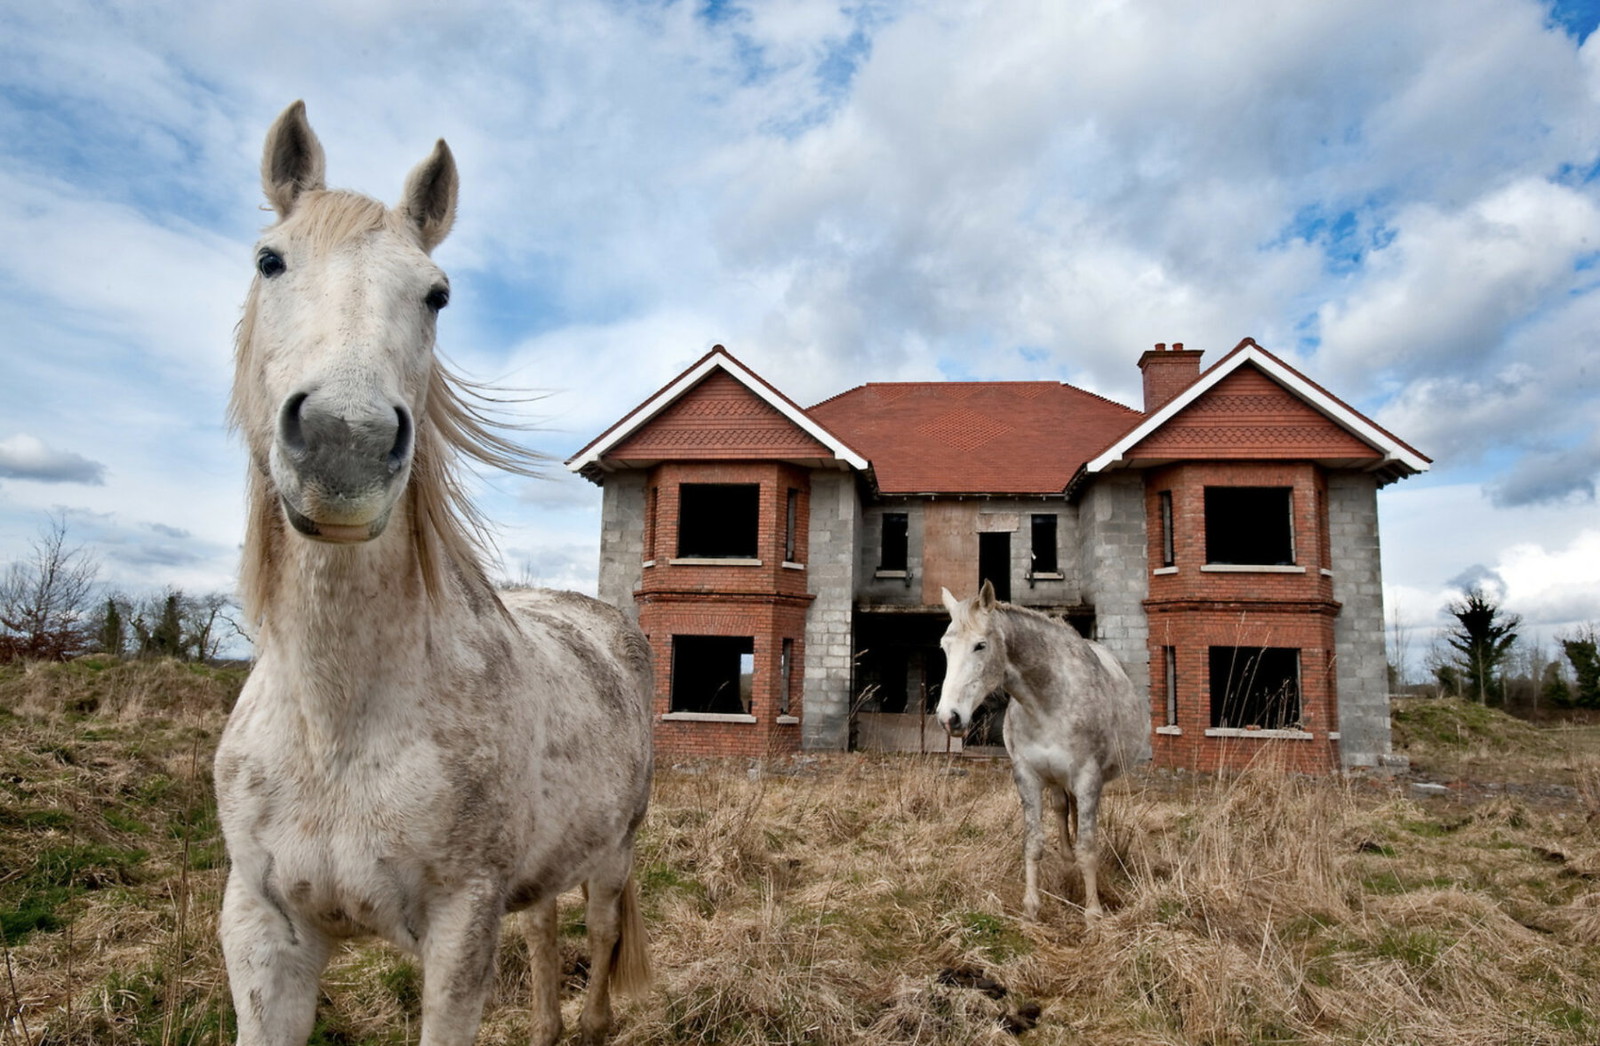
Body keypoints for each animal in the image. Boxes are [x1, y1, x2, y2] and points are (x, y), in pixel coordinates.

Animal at [214, 101, 654, 1046]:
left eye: (437, 294)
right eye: (270, 261)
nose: (345, 441)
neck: (339, 721)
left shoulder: (458, 931)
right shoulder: (263, 934)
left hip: (612, 856)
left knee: (598, 940)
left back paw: (589, 1021)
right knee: (544, 929)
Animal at [935, 581, 1150, 922]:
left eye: (980, 645)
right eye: (945, 647)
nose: (949, 717)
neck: (1048, 702)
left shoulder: (1088, 779)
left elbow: (1088, 846)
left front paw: (1093, 913)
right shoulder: (1027, 776)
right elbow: (1033, 843)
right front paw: (1031, 908)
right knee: (1062, 808)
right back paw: (1065, 859)